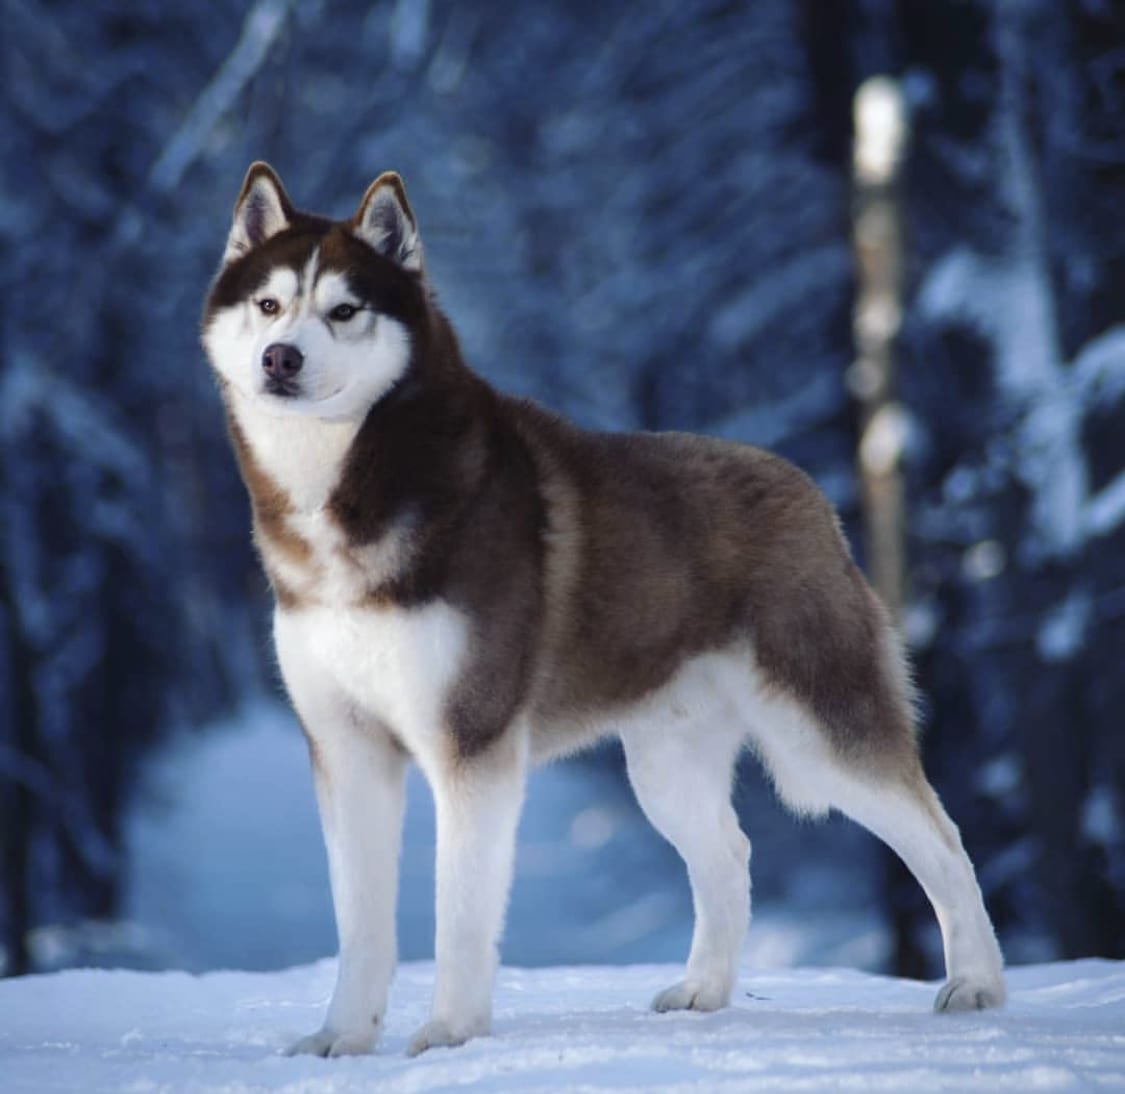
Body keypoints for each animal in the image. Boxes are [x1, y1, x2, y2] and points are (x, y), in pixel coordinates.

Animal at [200, 166, 1003, 1053]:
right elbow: (360, 924)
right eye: (269, 304)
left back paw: (976, 983)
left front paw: (449, 1033)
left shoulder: (470, 743)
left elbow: (458, 912)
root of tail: (808, 491)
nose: (280, 357)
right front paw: (343, 1039)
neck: (348, 487)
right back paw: (702, 990)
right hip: (663, 762)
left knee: (943, 840)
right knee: (728, 854)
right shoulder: (345, 748)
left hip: (821, 730)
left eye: (345, 310)